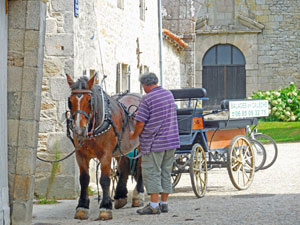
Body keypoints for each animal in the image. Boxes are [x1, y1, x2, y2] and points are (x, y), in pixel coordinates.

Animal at [66, 74, 143, 220]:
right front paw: (82, 207)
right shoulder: (80, 155)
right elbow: (84, 179)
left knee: (140, 166)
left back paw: (139, 195)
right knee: (124, 166)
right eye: (70, 101)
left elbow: (105, 179)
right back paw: (120, 196)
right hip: (120, 148)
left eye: (89, 101)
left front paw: (105, 207)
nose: (79, 130)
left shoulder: (106, 155)